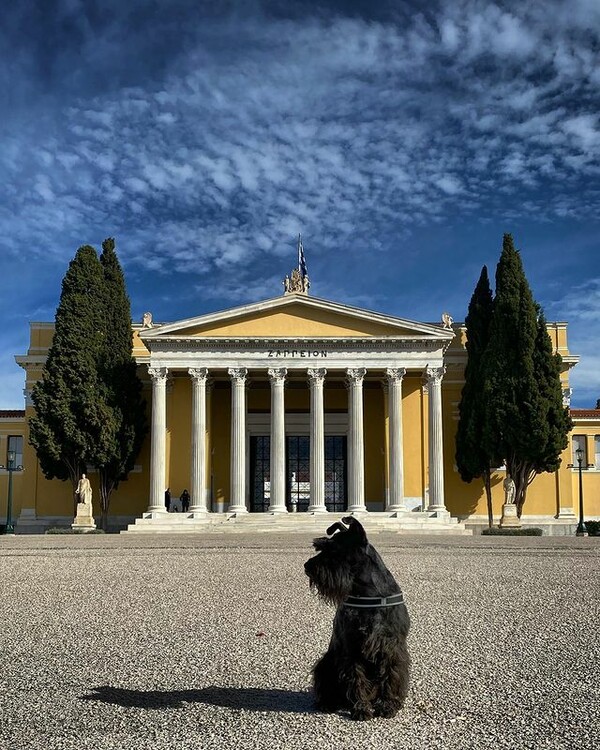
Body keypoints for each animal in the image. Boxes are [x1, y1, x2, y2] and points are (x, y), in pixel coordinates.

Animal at [304, 516, 408, 724]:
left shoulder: (392, 647)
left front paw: (388, 705)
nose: (307, 567)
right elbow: (355, 679)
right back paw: (327, 702)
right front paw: (361, 708)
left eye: (333, 549)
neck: (370, 594)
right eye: (320, 547)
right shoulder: (351, 647)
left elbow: (390, 675)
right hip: (326, 663)